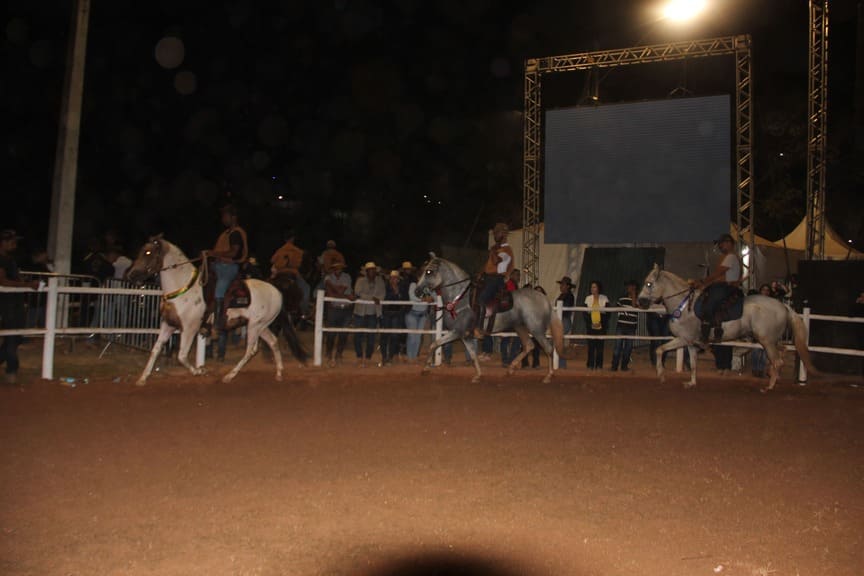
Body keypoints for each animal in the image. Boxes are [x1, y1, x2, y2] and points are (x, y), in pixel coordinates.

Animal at [127, 236, 289, 385]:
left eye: (148, 252)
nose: (131, 275)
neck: (182, 288)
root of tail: (277, 292)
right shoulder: (168, 324)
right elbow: (155, 350)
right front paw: (143, 378)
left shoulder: (190, 328)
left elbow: (181, 355)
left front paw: (199, 371)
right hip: (261, 326)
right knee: (273, 342)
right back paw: (279, 373)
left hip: (255, 326)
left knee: (250, 350)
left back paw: (229, 376)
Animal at [413, 254, 565, 384]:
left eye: (429, 272)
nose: (417, 291)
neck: (460, 298)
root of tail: (544, 299)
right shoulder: (465, 335)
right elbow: (472, 354)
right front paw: (478, 375)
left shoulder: (457, 332)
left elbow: (434, 344)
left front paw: (425, 369)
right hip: (520, 327)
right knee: (529, 345)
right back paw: (511, 369)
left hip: (536, 329)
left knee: (548, 348)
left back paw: (548, 376)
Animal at [637, 263, 816, 391]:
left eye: (649, 284)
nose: (640, 301)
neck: (683, 305)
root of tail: (783, 306)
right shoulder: (691, 343)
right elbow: (693, 364)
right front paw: (691, 383)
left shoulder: (683, 339)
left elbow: (659, 350)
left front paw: (661, 375)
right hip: (771, 340)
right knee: (782, 353)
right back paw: (772, 375)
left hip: (766, 341)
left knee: (777, 360)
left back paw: (769, 386)